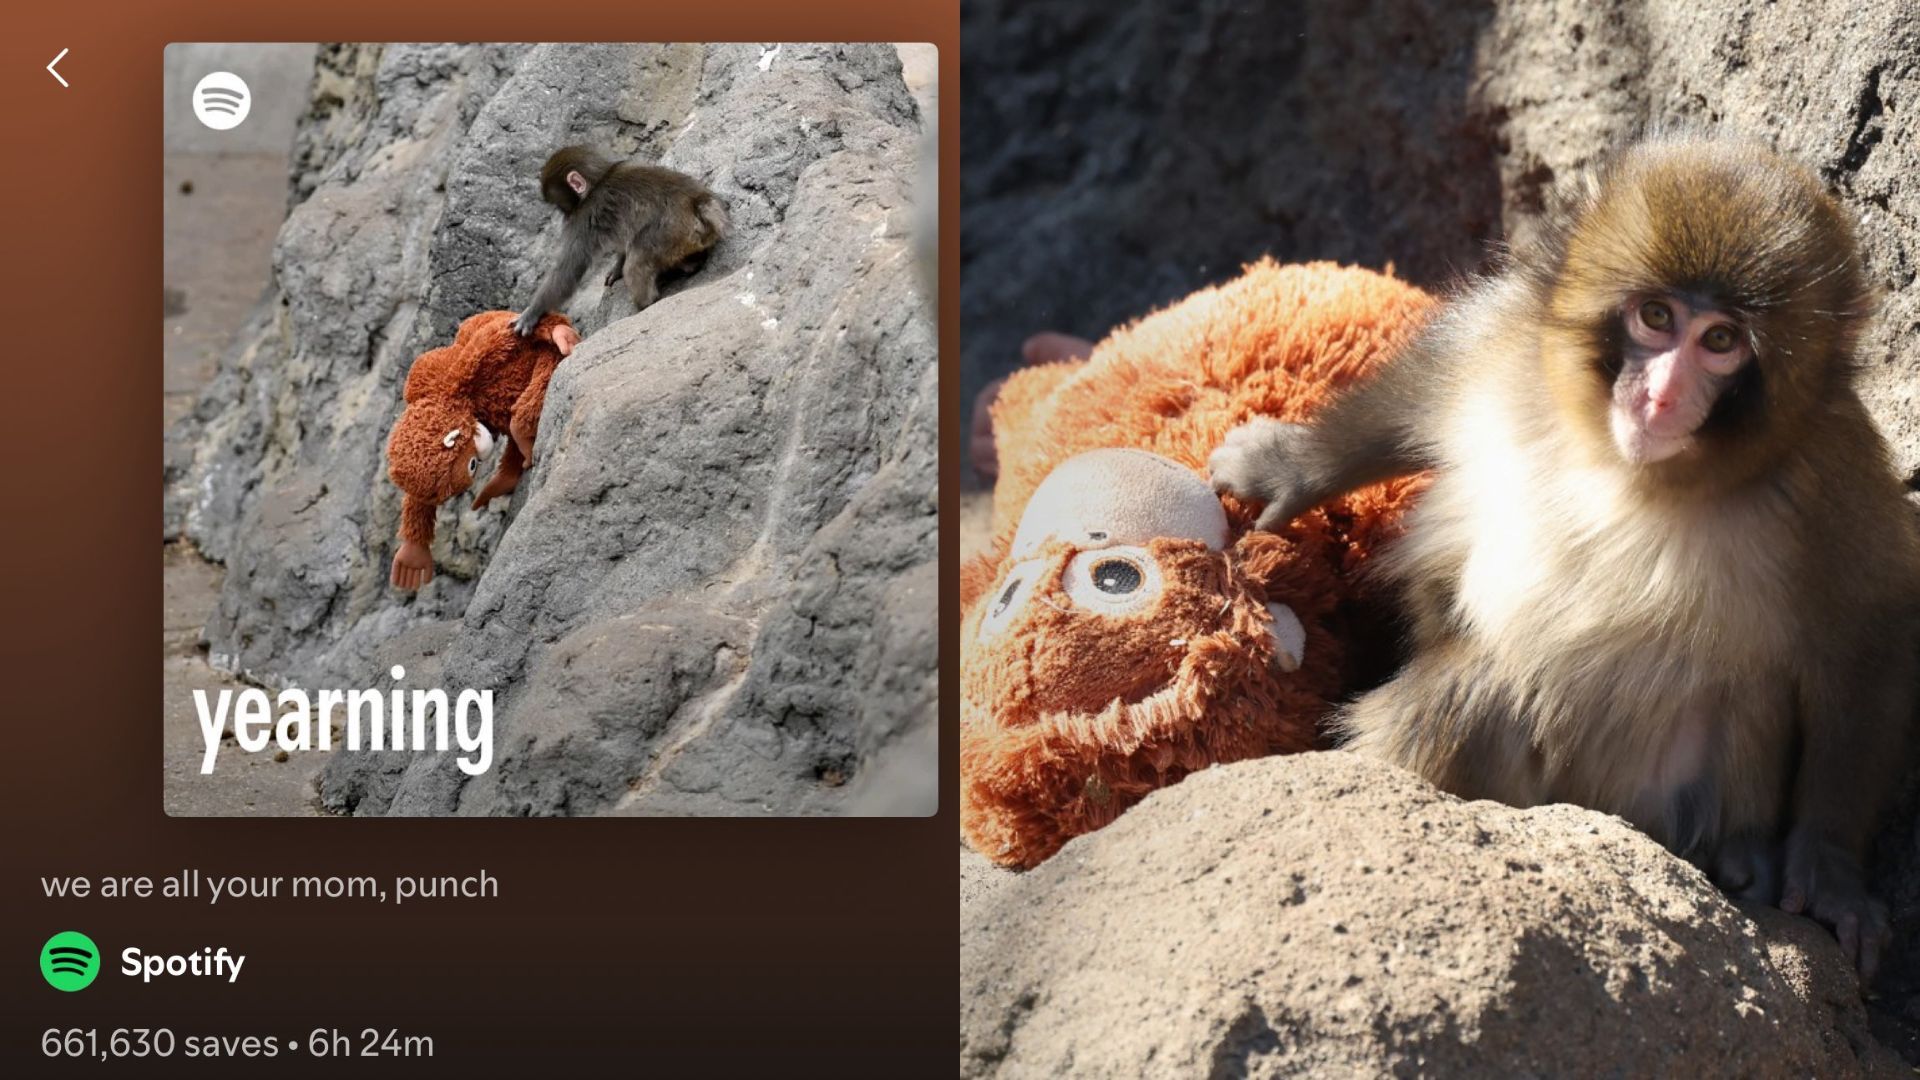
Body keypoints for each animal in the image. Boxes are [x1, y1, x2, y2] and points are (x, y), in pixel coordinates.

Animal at [512, 146, 728, 337]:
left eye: (559, 204)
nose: (562, 215)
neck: (599, 179)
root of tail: (698, 203)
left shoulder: (583, 217)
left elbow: (569, 269)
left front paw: (532, 312)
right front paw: (616, 268)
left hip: (668, 233)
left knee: (636, 264)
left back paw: (645, 303)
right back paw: (691, 263)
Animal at [1208, 134, 1920, 978]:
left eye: (1720, 342)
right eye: (1656, 317)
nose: (1659, 396)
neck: (1628, 468)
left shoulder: (1831, 478)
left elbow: (1869, 636)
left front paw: (1834, 869)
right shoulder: (1509, 348)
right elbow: (1420, 392)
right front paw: (1291, 467)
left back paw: (1742, 858)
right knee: (1476, 692)